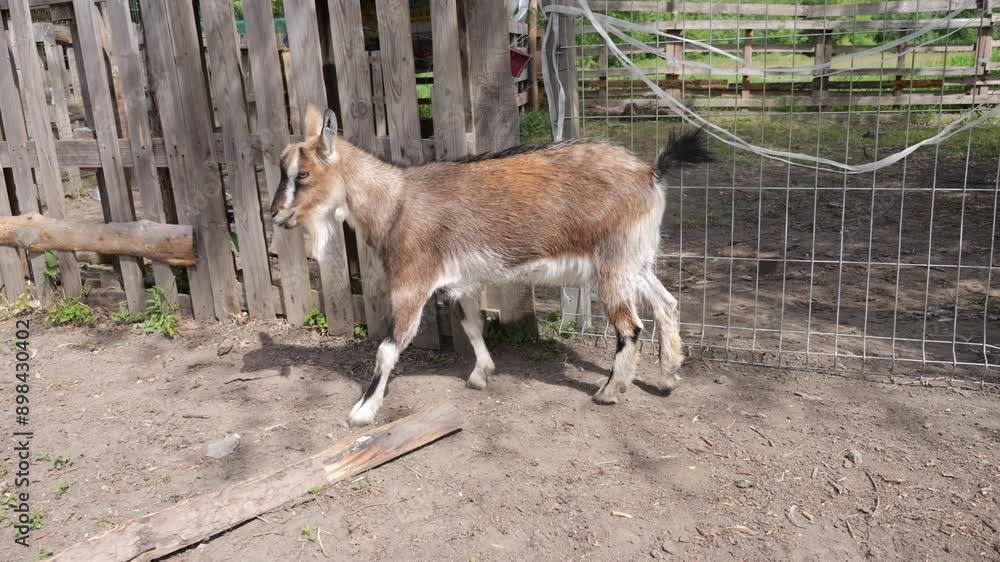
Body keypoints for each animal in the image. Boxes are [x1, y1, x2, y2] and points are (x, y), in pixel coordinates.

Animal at [271, 105, 711, 427]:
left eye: (303, 174)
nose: (276, 215)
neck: (395, 203)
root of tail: (650, 172)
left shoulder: (412, 283)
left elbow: (387, 348)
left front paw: (362, 411)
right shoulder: (460, 282)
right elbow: (471, 325)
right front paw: (481, 374)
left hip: (612, 265)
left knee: (631, 327)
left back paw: (608, 392)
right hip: (636, 260)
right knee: (667, 304)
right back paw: (668, 377)